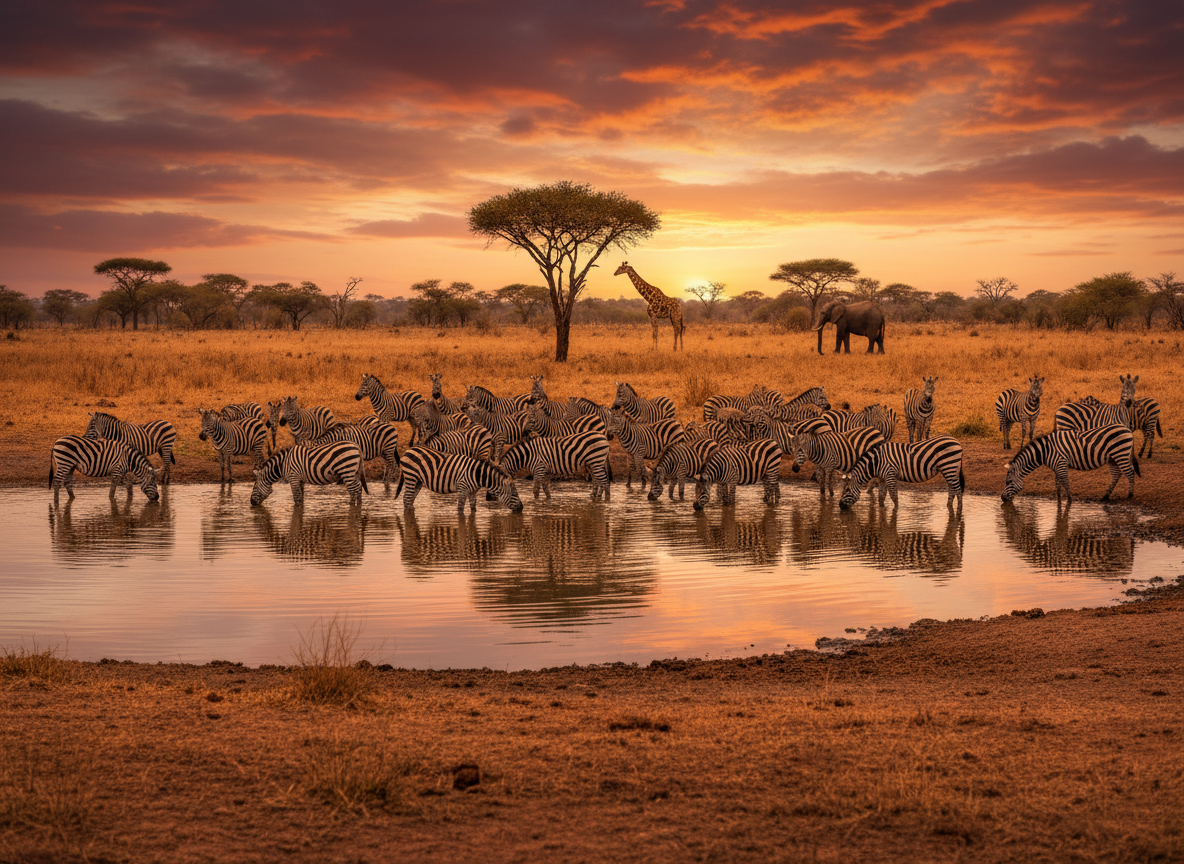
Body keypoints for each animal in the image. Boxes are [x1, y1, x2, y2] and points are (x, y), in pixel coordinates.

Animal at [394, 446, 523, 513]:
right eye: (514, 494)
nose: (522, 508)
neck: (477, 475)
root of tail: (408, 450)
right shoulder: (462, 488)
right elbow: (460, 509)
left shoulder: (472, 492)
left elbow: (473, 508)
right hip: (411, 477)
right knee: (406, 498)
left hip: (418, 482)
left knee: (410, 500)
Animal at [1002, 425, 1139, 504]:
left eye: (1009, 482)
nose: (1002, 498)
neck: (1046, 451)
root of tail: (1127, 429)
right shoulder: (1056, 467)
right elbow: (1057, 484)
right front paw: (1058, 501)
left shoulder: (1061, 464)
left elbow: (1065, 482)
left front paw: (1069, 500)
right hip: (1112, 458)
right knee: (1116, 475)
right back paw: (1105, 496)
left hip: (1120, 454)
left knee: (1130, 472)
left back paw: (1130, 495)